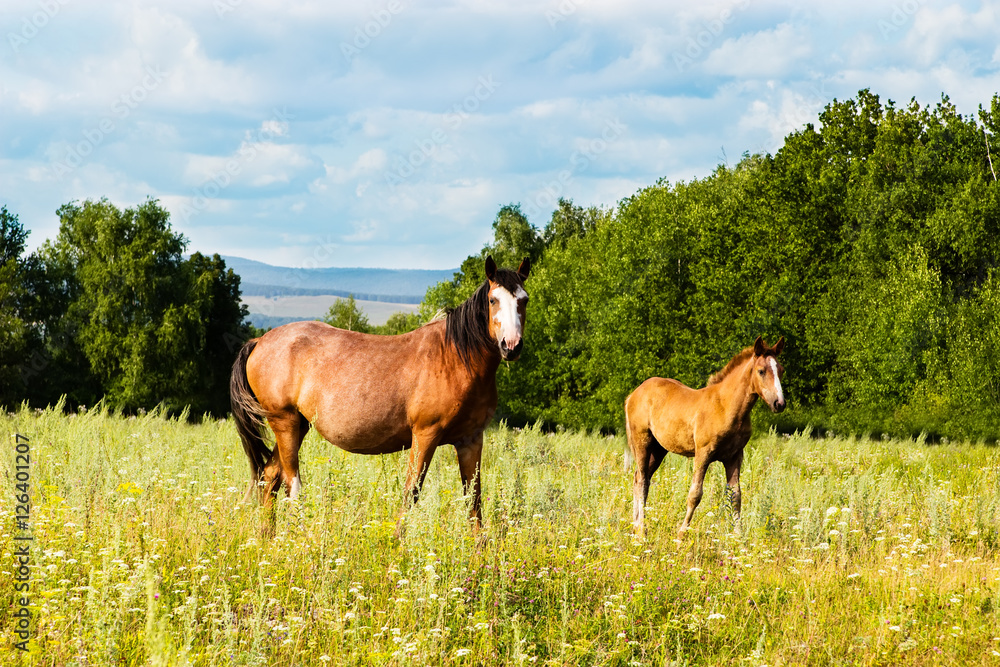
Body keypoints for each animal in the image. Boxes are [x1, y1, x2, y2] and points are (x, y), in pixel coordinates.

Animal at [230, 256, 530, 532]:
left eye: (524, 300)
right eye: (493, 300)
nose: (511, 346)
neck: (455, 357)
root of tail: (259, 341)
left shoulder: (471, 440)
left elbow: (474, 499)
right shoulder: (425, 435)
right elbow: (411, 493)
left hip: (298, 426)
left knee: (270, 477)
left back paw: (268, 538)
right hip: (285, 423)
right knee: (292, 485)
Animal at [624, 336, 785, 535]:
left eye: (781, 370)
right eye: (761, 371)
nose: (779, 403)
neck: (725, 406)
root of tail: (633, 395)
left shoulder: (734, 456)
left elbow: (736, 497)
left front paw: (739, 537)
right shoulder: (703, 453)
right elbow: (695, 494)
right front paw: (681, 534)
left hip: (659, 449)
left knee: (641, 478)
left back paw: (636, 525)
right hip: (642, 441)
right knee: (641, 481)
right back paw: (641, 530)